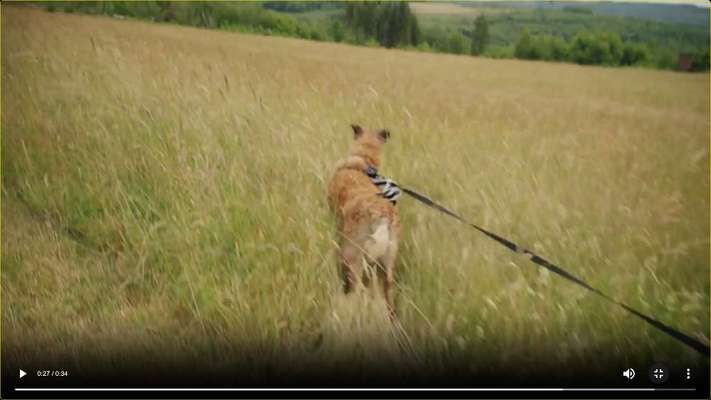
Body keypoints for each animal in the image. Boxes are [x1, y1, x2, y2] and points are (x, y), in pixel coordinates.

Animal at [328, 123, 400, 318]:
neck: (364, 161)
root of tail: (382, 215)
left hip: (352, 255)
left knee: (358, 288)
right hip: (388, 264)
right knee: (388, 293)